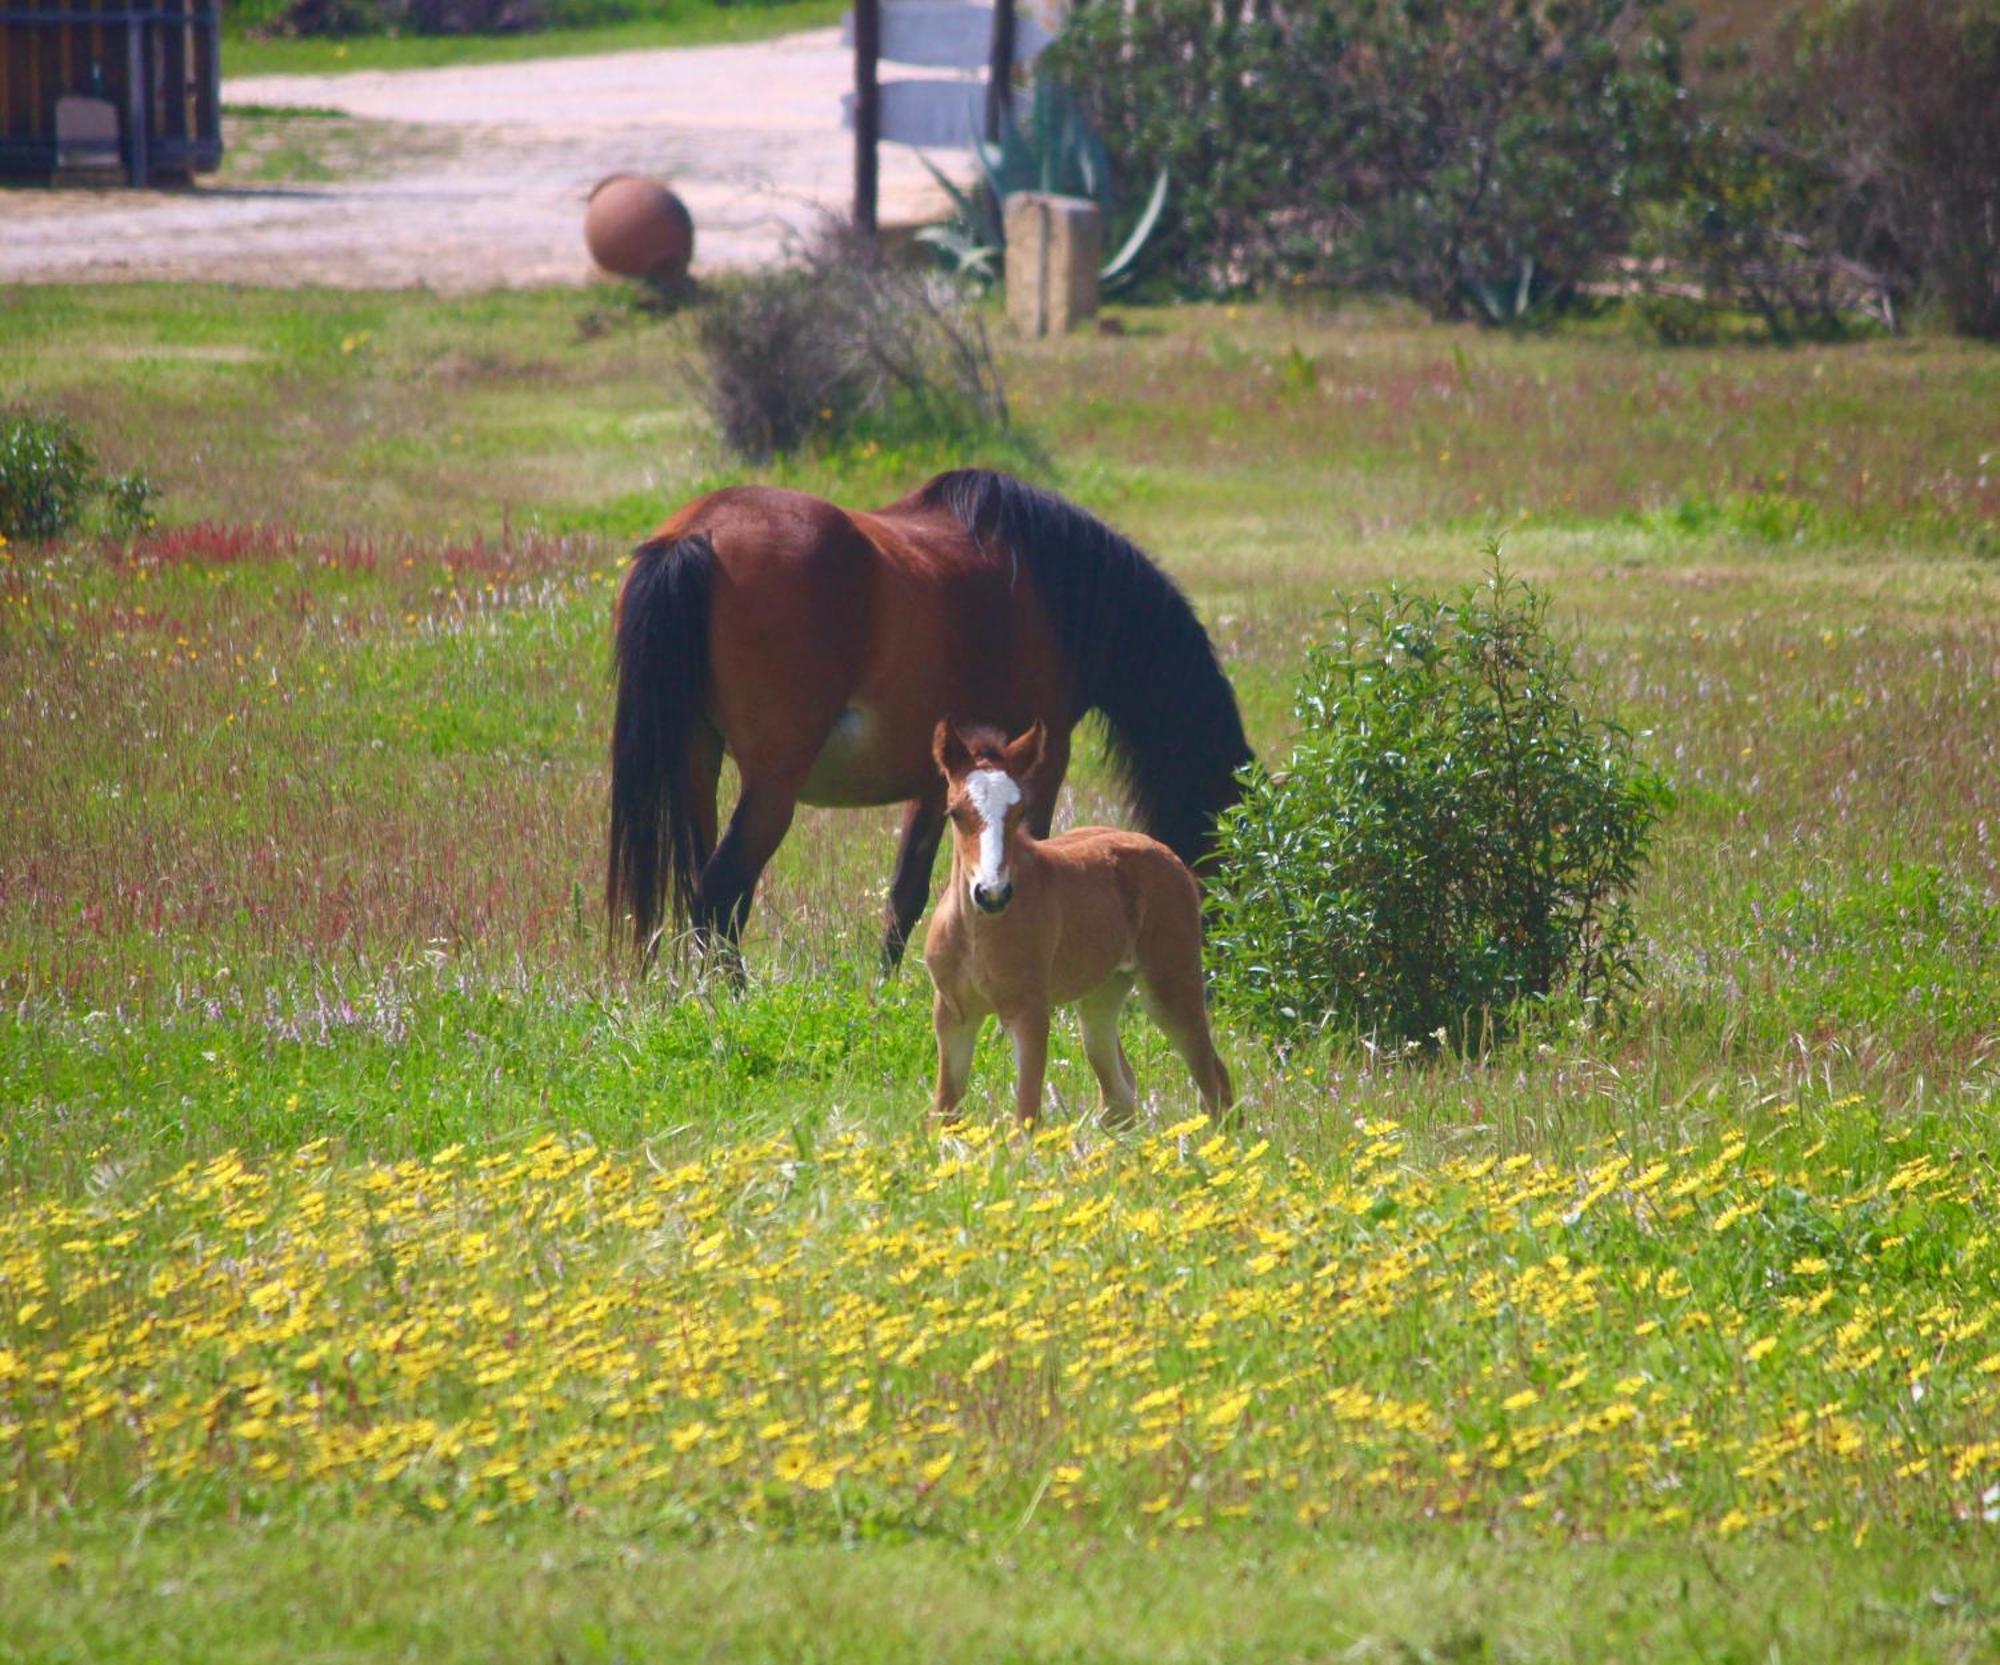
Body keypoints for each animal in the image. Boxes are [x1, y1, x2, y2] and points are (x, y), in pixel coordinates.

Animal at [604, 468, 1248, 960]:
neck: (1055, 589)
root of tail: (697, 537)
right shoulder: (1042, 766)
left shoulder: (941, 780)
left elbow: (907, 897)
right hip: (771, 785)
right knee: (721, 892)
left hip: (696, 760)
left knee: (700, 889)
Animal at [924, 720, 1232, 1128]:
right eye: (955, 813)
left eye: (1019, 812)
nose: (992, 893)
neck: (976, 933)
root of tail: (1165, 852)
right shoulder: (952, 1014)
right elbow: (944, 1112)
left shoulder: (1029, 1011)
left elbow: (1026, 1116)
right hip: (1100, 998)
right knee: (1119, 1093)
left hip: (1170, 987)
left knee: (1213, 1079)